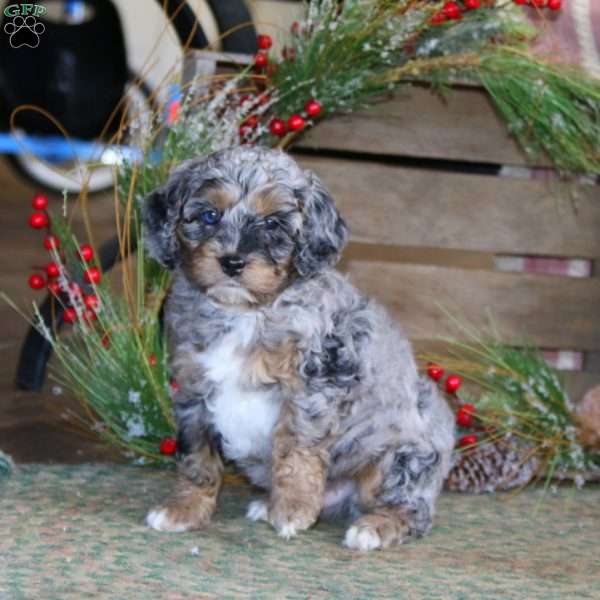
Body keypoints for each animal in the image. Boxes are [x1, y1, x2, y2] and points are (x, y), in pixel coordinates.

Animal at [143, 145, 452, 548]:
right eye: (210, 215)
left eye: (273, 223)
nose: (232, 262)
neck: (246, 313)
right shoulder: (193, 388)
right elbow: (197, 457)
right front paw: (184, 509)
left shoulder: (314, 386)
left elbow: (296, 448)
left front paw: (293, 510)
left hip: (401, 458)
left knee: (414, 512)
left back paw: (373, 527)